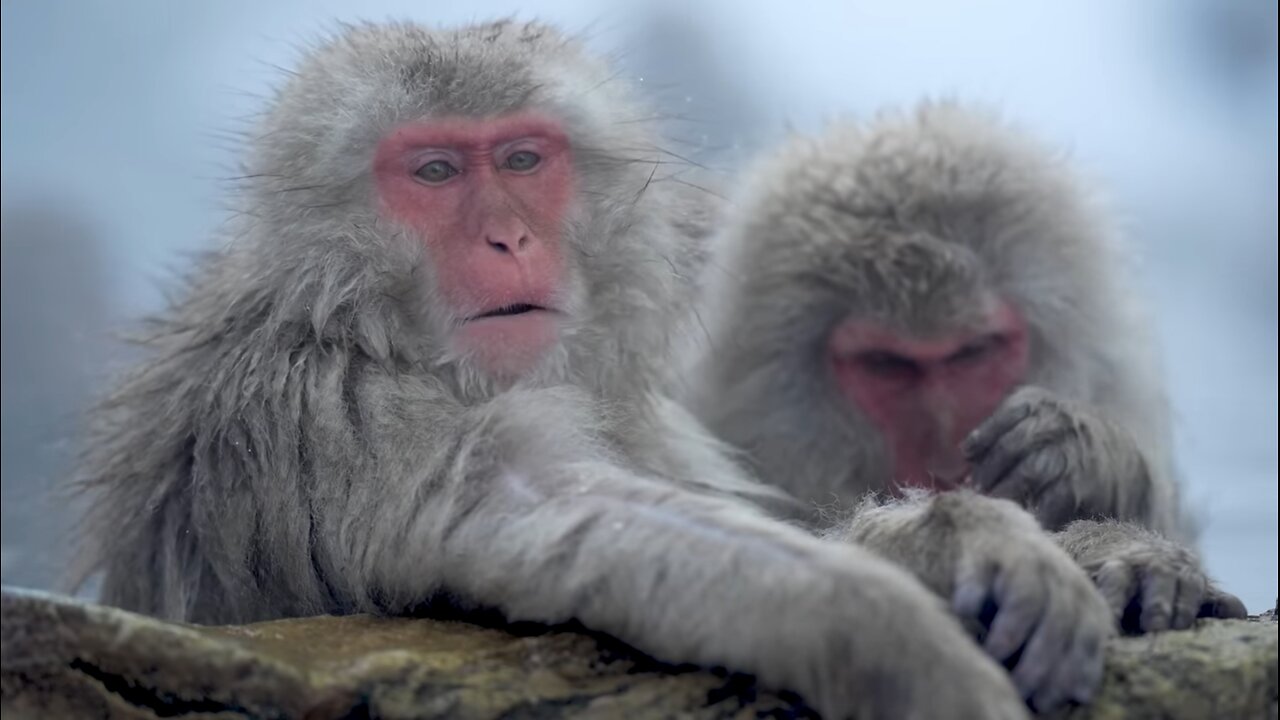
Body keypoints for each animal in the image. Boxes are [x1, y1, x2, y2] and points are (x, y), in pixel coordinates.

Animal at [70, 19, 1116, 712]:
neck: (364, 322)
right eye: (435, 172)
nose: (507, 238)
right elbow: (557, 520)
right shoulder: (334, 411)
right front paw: (882, 632)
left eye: (523, 159)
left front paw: (964, 538)